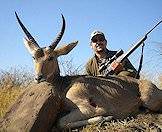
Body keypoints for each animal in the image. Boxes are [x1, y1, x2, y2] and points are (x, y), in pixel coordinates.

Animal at [15, 11, 162, 129]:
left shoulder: (88, 108)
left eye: (51, 57)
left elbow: (60, 122)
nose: (38, 77)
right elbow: (61, 122)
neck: (64, 85)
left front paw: (107, 117)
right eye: (34, 57)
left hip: (148, 100)